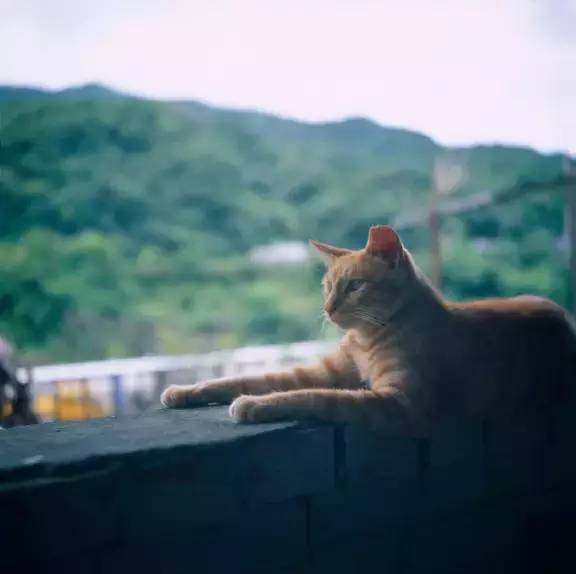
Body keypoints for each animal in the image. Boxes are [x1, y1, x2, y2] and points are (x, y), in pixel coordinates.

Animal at [161, 227, 576, 438]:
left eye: (355, 286)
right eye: (327, 286)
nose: (328, 309)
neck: (365, 339)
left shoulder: (398, 402)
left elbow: (314, 396)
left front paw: (253, 404)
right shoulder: (323, 370)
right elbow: (248, 378)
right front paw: (184, 391)